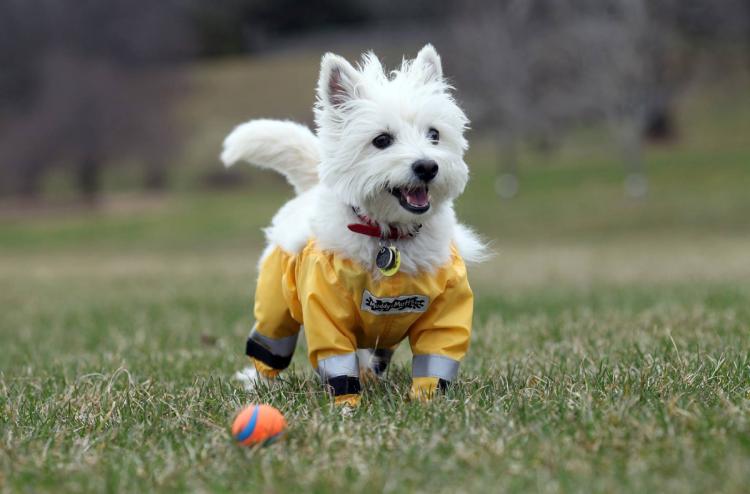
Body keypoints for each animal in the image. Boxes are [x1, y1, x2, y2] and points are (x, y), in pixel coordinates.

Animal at [220, 43, 488, 406]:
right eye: (382, 140)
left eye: (434, 134)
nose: (427, 167)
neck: (390, 237)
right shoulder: (325, 310)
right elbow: (337, 361)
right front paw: (347, 406)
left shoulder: (447, 310)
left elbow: (438, 354)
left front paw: (428, 402)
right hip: (275, 304)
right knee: (270, 344)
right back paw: (259, 383)